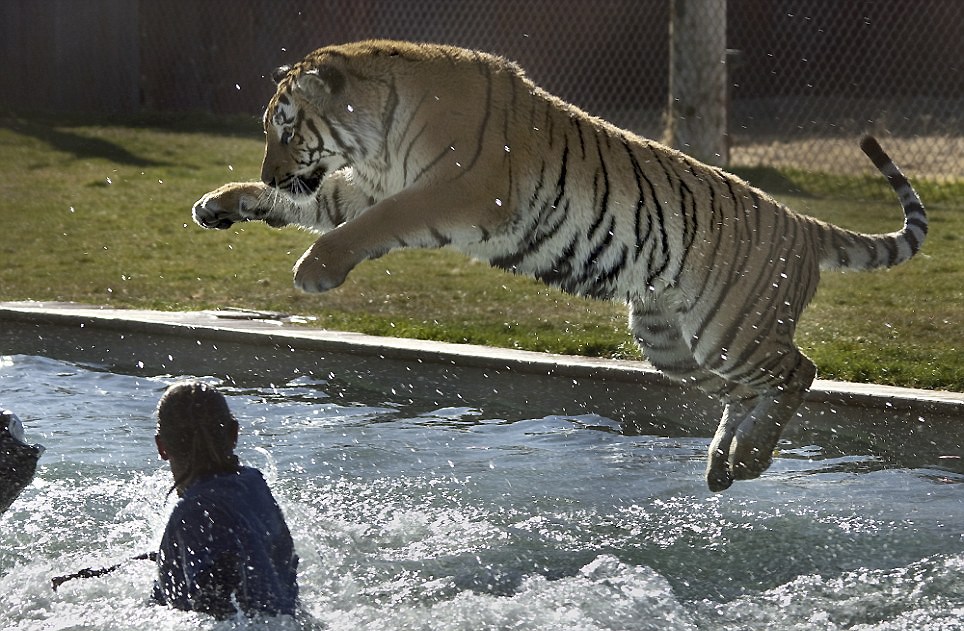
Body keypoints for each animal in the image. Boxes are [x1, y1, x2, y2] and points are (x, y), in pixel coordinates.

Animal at [194, 39, 928, 494]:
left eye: (287, 128)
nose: (271, 169)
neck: (376, 130)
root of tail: (802, 224)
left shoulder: (448, 191)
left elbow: (361, 228)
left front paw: (313, 269)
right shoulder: (364, 186)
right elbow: (313, 204)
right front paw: (219, 203)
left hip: (731, 327)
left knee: (799, 370)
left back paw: (745, 457)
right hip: (674, 340)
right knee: (748, 392)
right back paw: (728, 465)